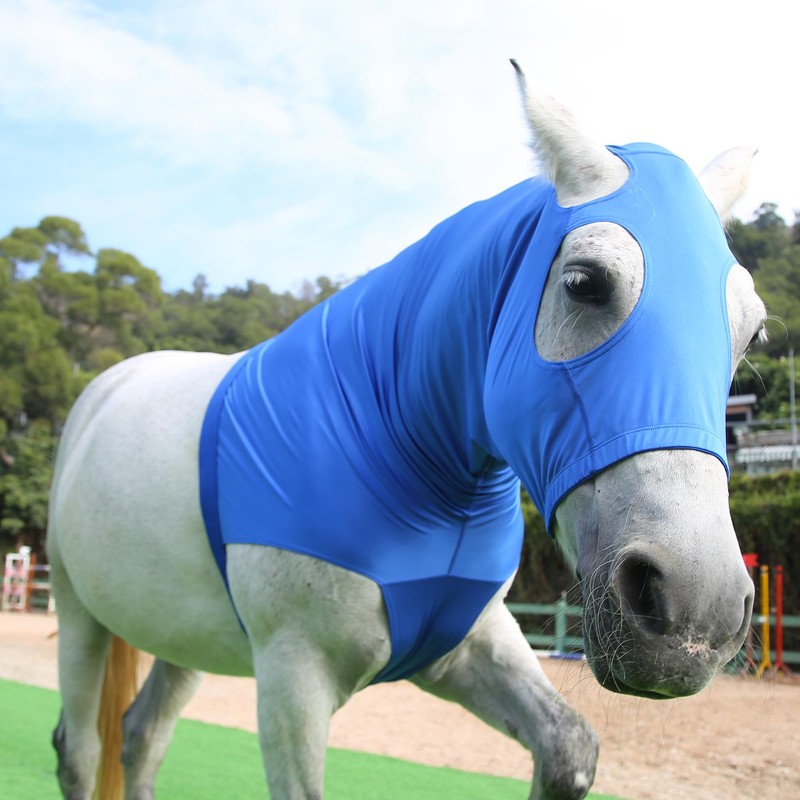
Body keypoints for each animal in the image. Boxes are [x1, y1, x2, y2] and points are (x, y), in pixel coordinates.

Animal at [47, 61, 766, 800]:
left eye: (752, 330)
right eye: (583, 282)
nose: (696, 610)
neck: (393, 442)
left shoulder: (465, 646)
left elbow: (569, 747)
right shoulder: (293, 676)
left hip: (184, 640)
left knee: (141, 737)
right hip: (77, 612)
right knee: (80, 748)